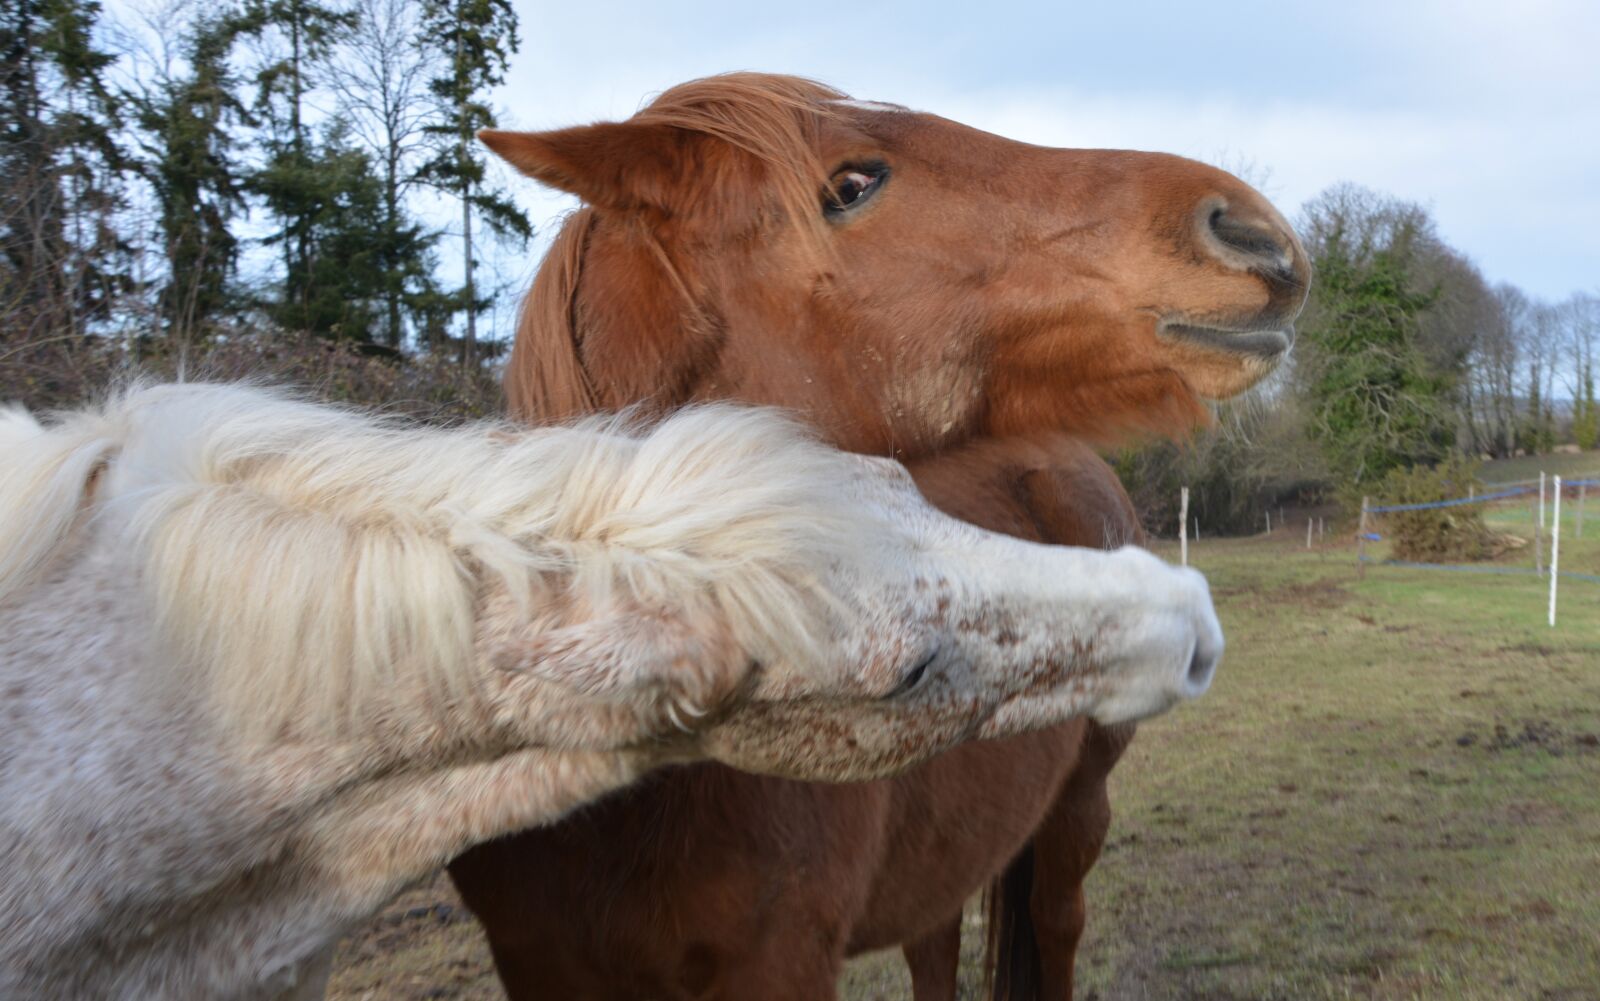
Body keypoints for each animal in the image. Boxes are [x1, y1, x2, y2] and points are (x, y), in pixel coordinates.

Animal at [451, 73, 1308, 1001]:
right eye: (852, 185)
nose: (1252, 229)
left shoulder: (784, 957)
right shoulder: (539, 962)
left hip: (1079, 809)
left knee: (1056, 924)